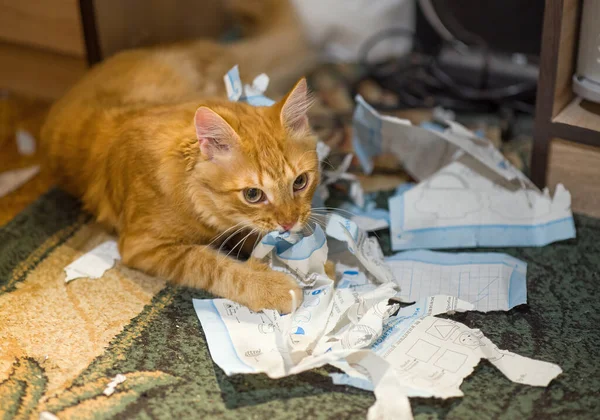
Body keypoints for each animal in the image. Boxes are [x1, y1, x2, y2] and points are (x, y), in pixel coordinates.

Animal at [40, 0, 318, 312]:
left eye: (300, 182)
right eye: (253, 195)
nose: (289, 223)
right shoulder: (144, 247)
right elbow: (215, 265)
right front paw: (271, 285)